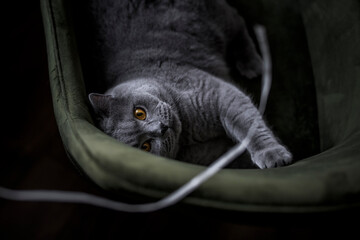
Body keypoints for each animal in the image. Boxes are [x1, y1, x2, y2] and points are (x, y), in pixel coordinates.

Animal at [87, 0, 292, 169]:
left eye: (139, 113)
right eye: (145, 146)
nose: (160, 128)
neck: (190, 129)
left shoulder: (219, 92)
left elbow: (249, 125)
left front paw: (272, 155)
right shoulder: (208, 153)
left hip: (216, 19)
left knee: (238, 23)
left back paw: (252, 64)